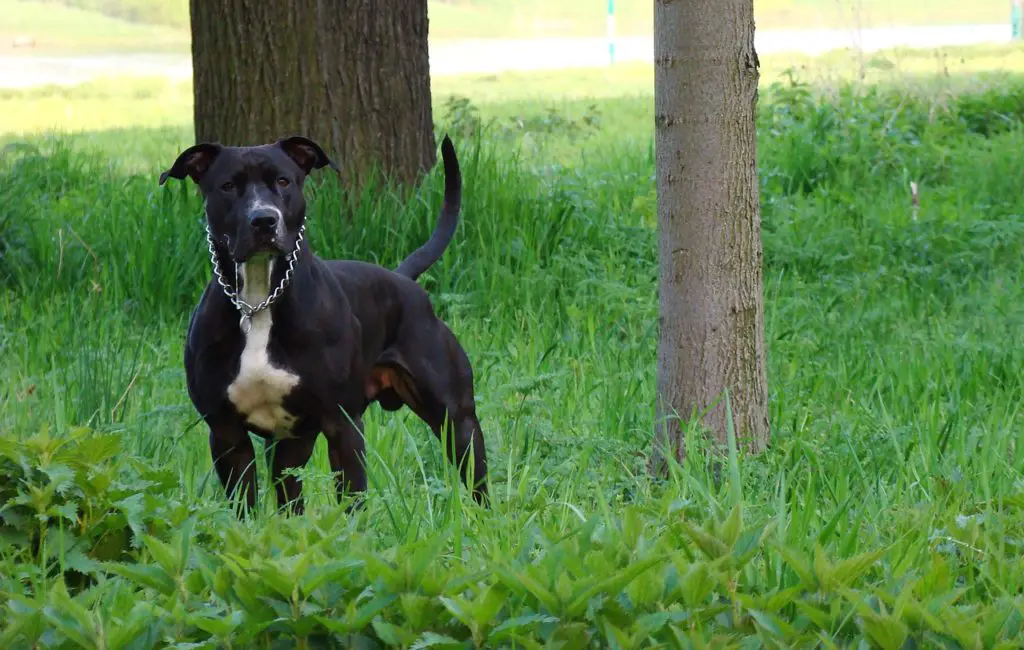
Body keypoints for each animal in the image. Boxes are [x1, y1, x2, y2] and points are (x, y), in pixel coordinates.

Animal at [161, 136, 489, 513]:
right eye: (228, 186)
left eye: (284, 181)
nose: (264, 219)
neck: (259, 302)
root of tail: (402, 280)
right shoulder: (227, 435)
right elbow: (244, 509)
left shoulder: (342, 425)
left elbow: (352, 503)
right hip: (290, 446)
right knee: (290, 498)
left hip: (458, 422)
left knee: (476, 479)